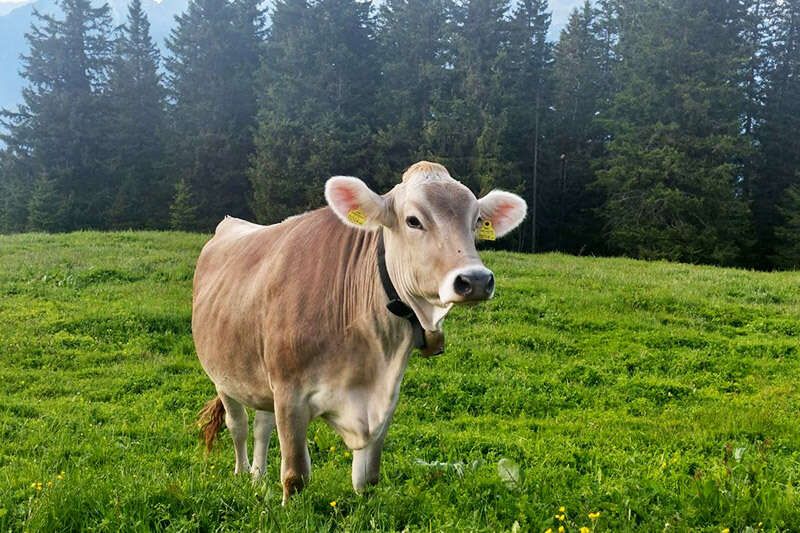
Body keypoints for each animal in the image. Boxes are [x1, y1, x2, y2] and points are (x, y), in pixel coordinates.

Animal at [193, 161, 527, 503]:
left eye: (476, 222)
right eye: (413, 220)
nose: (475, 280)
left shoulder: (384, 398)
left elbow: (367, 479)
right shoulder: (289, 393)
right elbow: (295, 476)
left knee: (262, 425)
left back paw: (259, 479)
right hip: (224, 376)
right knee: (239, 425)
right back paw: (243, 473)